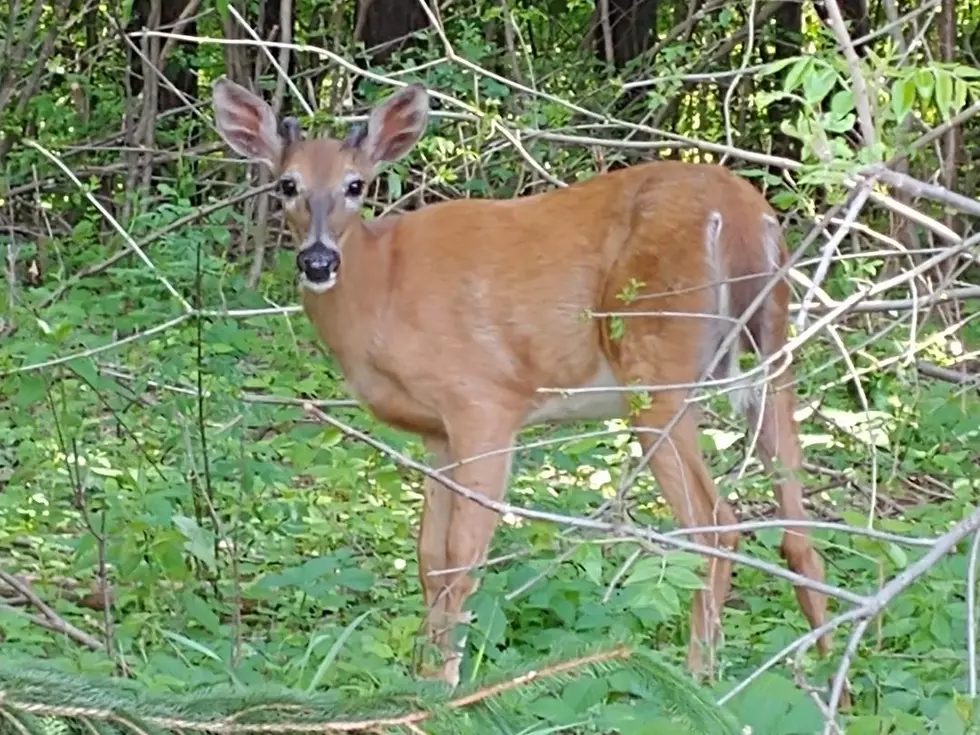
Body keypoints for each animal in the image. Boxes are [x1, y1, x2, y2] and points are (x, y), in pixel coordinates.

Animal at [211, 79, 840, 696]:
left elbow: (462, 553)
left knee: (717, 524)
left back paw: (701, 681)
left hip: (655, 362)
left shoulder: (482, 401)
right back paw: (831, 677)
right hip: (772, 345)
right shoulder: (436, 432)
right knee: (798, 532)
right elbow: (428, 556)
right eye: (287, 184)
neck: (381, 289)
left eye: (355, 185)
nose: (317, 260)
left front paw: (445, 683)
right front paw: (421, 677)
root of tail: (739, 213)